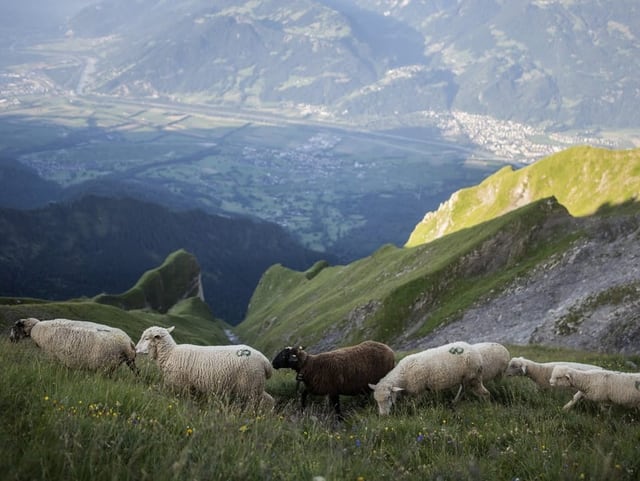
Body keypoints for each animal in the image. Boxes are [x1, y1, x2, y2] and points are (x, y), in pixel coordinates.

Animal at [7, 316, 139, 374]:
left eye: (14, 328)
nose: (10, 339)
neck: (36, 329)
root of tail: (129, 343)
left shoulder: (52, 355)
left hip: (106, 364)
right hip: (126, 362)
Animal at [134, 324, 274, 406]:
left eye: (146, 338)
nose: (135, 349)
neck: (170, 353)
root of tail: (266, 362)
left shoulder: (180, 386)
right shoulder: (192, 388)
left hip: (250, 386)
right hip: (256, 386)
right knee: (269, 399)